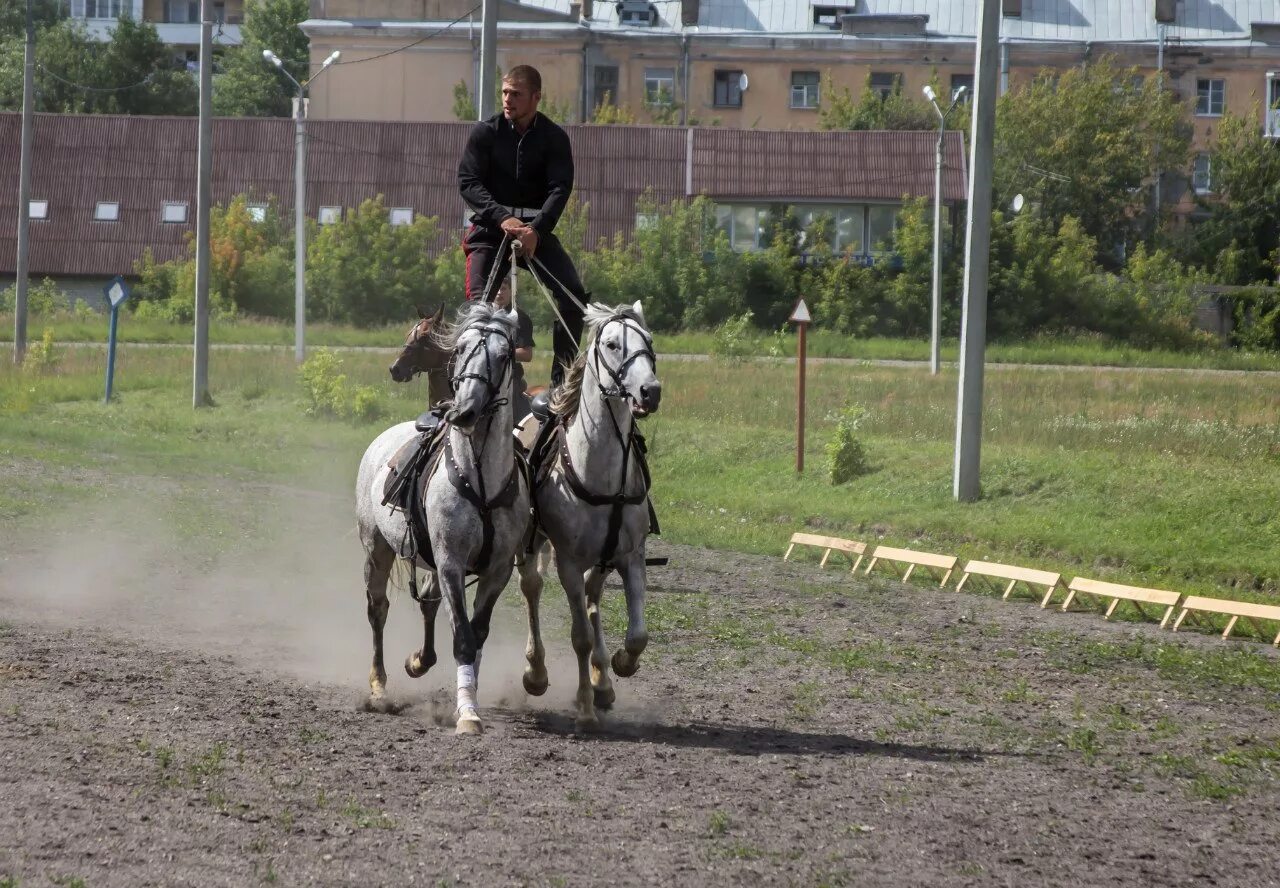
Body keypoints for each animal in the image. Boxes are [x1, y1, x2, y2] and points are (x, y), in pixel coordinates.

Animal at [353, 303, 527, 731]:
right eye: (460, 348)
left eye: (504, 354)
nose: (464, 411)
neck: (478, 476)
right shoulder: (450, 562)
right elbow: (462, 637)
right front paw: (468, 715)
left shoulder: (497, 569)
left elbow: (476, 635)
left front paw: (469, 699)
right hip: (375, 549)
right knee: (377, 609)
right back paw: (379, 685)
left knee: (429, 605)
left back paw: (419, 660)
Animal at [517, 303, 665, 731]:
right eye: (613, 344)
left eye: (649, 340)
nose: (650, 391)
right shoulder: (567, 561)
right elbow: (579, 636)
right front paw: (583, 707)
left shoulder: (630, 557)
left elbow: (637, 635)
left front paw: (619, 664)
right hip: (530, 546)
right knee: (532, 587)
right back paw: (537, 673)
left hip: (602, 561)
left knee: (592, 594)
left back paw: (603, 681)